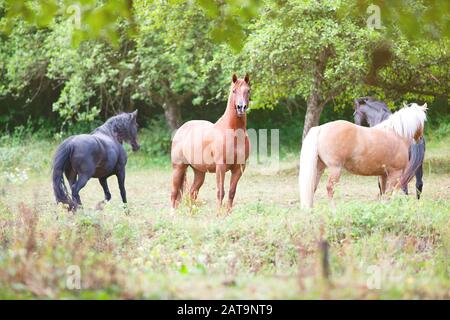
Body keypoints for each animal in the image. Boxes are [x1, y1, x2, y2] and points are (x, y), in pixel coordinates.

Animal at [171, 74, 251, 214]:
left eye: (248, 90)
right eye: (234, 91)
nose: (241, 107)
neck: (233, 133)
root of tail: (181, 129)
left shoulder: (239, 168)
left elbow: (231, 192)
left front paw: (228, 214)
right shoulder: (221, 167)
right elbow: (220, 192)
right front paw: (218, 214)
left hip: (199, 172)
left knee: (192, 193)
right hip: (178, 167)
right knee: (174, 193)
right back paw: (172, 214)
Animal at [300, 103, 428, 210]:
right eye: (423, 120)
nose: (419, 138)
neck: (397, 134)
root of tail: (321, 128)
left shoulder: (383, 175)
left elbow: (383, 192)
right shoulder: (394, 173)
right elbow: (388, 193)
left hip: (319, 168)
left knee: (312, 187)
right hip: (335, 169)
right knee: (330, 188)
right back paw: (334, 211)